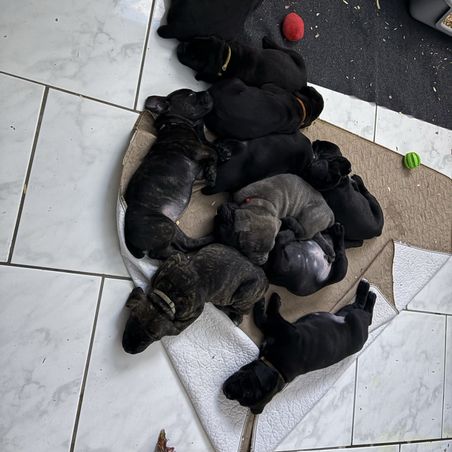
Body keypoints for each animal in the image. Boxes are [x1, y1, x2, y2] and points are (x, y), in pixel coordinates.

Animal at [122, 244, 268, 354]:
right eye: (133, 317)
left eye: (155, 337)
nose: (128, 349)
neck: (169, 297)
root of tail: (266, 281)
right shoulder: (175, 259)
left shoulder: (195, 311)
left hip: (243, 294)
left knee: (243, 311)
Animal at [124, 88, 221, 260]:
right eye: (191, 95)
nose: (207, 91)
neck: (174, 123)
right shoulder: (198, 150)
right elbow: (213, 153)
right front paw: (212, 174)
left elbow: (211, 157)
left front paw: (212, 170)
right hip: (164, 226)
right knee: (158, 253)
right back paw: (179, 257)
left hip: (172, 228)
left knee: (186, 244)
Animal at [177, 36, 307, 90]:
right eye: (192, 40)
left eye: (193, 58)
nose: (180, 46)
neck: (226, 58)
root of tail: (303, 78)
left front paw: (199, 76)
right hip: (296, 57)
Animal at [223, 280, 376, 414]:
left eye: (247, 392)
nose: (226, 393)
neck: (276, 367)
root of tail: (366, 328)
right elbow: (265, 319)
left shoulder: (281, 326)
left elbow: (264, 318)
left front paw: (269, 300)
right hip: (345, 312)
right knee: (362, 309)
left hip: (354, 317)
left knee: (362, 308)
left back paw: (367, 291)